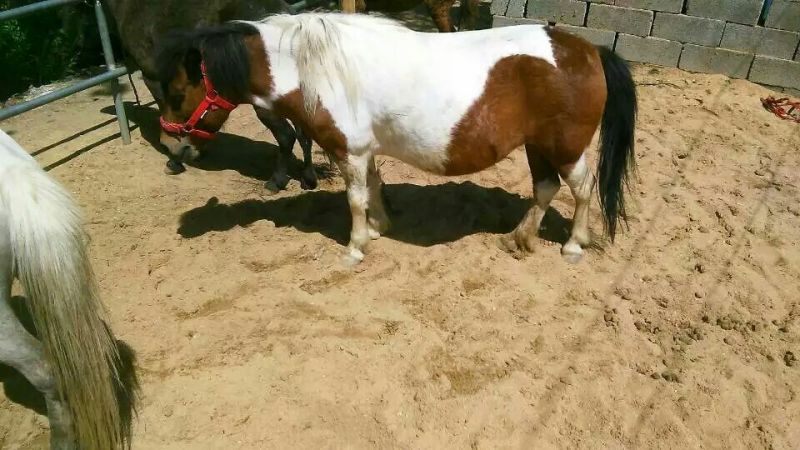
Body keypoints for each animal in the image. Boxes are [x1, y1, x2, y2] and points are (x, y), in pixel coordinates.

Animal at [103, 0, 318, 191]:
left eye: (177, 98)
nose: (168, 147)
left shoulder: (153, 78)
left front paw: (175, 161)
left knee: (287, 136)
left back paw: (276, 182)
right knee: (303, 133)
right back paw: (308, 179)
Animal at [155, 13, 637, 265]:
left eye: (178, 93)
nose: (174, 150)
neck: (315, 68)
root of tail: (592, 50)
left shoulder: (347, 151)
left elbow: (354, 199)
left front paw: (355, 247)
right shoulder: (362, 150)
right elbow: (373, 187)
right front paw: (379, 227)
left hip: (565, 147)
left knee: (581, 187)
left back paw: (574, 244)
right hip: (538, 146)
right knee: (545, 188)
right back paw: (519, 238)